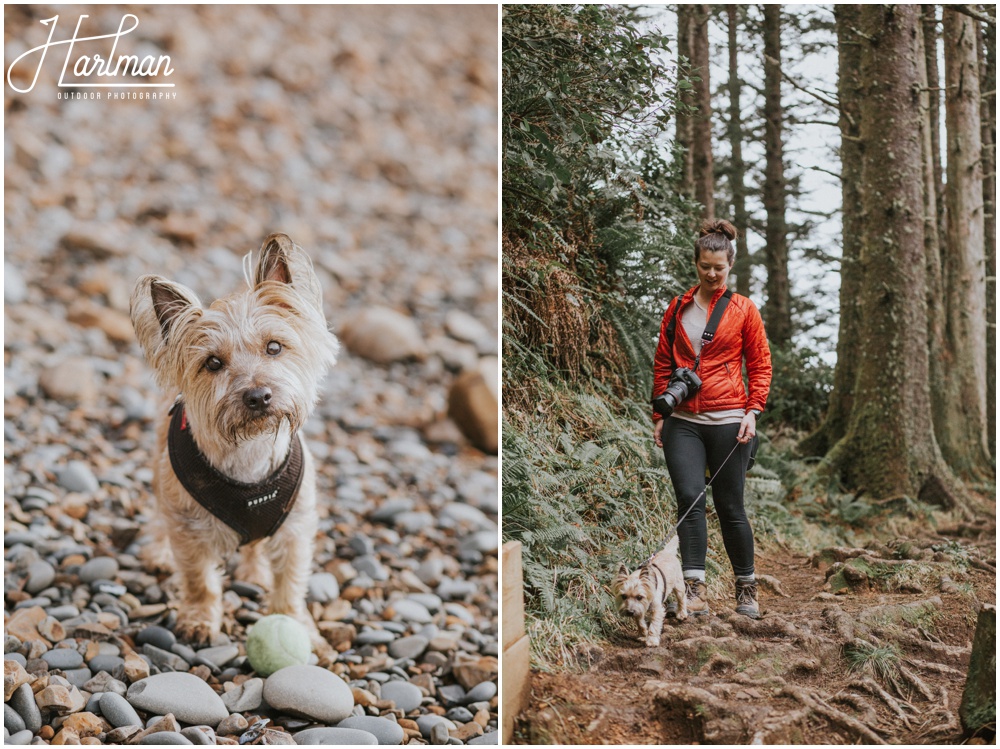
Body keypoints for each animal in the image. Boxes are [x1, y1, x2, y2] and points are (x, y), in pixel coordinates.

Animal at [130, 235, 340, 648]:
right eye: (212, 363)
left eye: (274, 347)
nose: (258, 396)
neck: (249, 453)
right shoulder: (188, 530)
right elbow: (199, 580)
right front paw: (199, 619)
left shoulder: (296, 529)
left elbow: (291, 582)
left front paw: (296, 624)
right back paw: (159, 553)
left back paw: (255, 571)